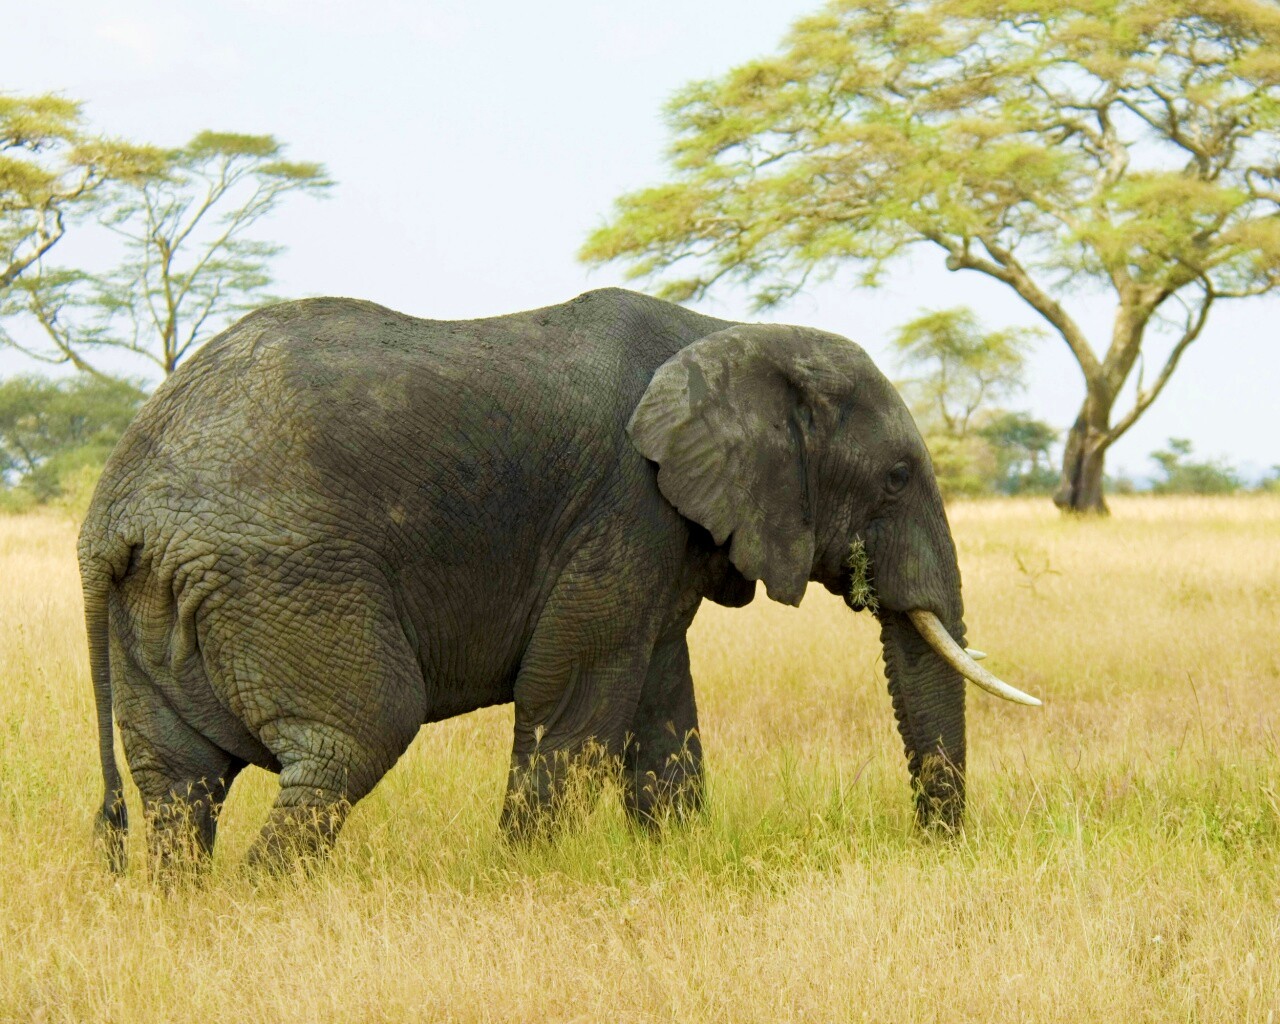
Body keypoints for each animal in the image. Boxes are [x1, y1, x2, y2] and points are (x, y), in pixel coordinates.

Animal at [78, 287, 1038, 872]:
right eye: (897, 478)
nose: (933, 848)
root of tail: (113, 511)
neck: (728, 332)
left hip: (162, 600)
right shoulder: (624, 506)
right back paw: (267, 902)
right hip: (285, 574)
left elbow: (659, 700)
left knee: (180, 783)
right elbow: (574, 695)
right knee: (353, 738)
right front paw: (524, 875)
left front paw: (673, 862)